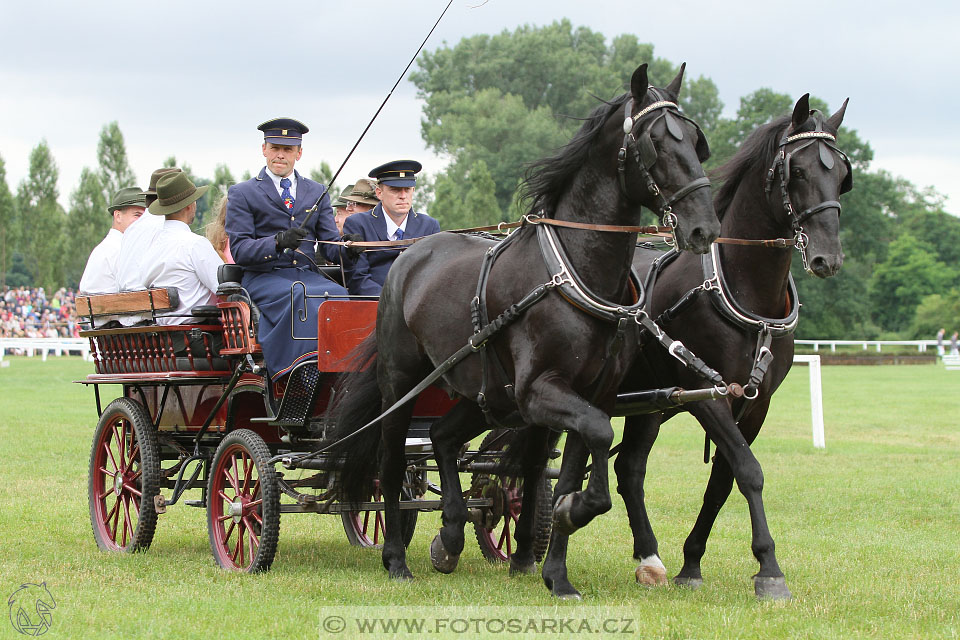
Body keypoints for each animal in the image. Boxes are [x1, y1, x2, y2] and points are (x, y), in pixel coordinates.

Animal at [330, 63, 720, 580]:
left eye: (696, 142)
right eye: (655, 142)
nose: (704, 228)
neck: (577, 272)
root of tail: (408, 256)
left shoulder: (589, 394)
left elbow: (571, 461)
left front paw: (553, 563)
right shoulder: (539, 390)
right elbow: (598, 436)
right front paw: (570, 517)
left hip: (483, 392)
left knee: (441, 437)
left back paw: (450, 538)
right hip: (402, 382)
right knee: (392, 461)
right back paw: (395, 556)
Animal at [544, 94, 852, 600]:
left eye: (842, 174)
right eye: (799, 172)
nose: (828, 257)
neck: (745, 290)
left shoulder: (755, 403)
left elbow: (724, 481)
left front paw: (693, 563)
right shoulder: (706, 393)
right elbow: (748, 470)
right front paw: (770, 569)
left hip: (648, 405)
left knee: (629, 469)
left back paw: (649, 558)